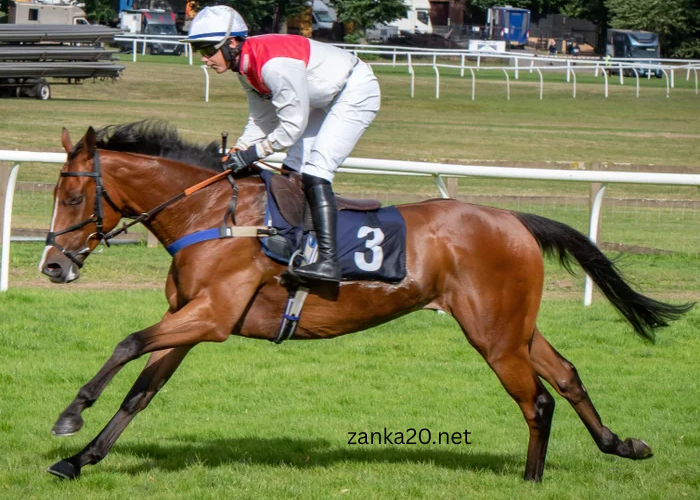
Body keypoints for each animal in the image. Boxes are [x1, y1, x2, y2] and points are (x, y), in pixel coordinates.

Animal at [39, 121, 693, 482]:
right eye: (55, 192)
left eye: (71, 196)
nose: (52, 265)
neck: (211, 215)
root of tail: (513, 218)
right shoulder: (189, 319)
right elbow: (141, 391)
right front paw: (80, 459)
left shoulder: (212, 317)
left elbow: (127, 344)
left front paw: (70, 416)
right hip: (514, 327)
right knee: (567, 377)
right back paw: (620, 444)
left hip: (493, 333)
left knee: (535, 400)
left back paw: (534, 479)